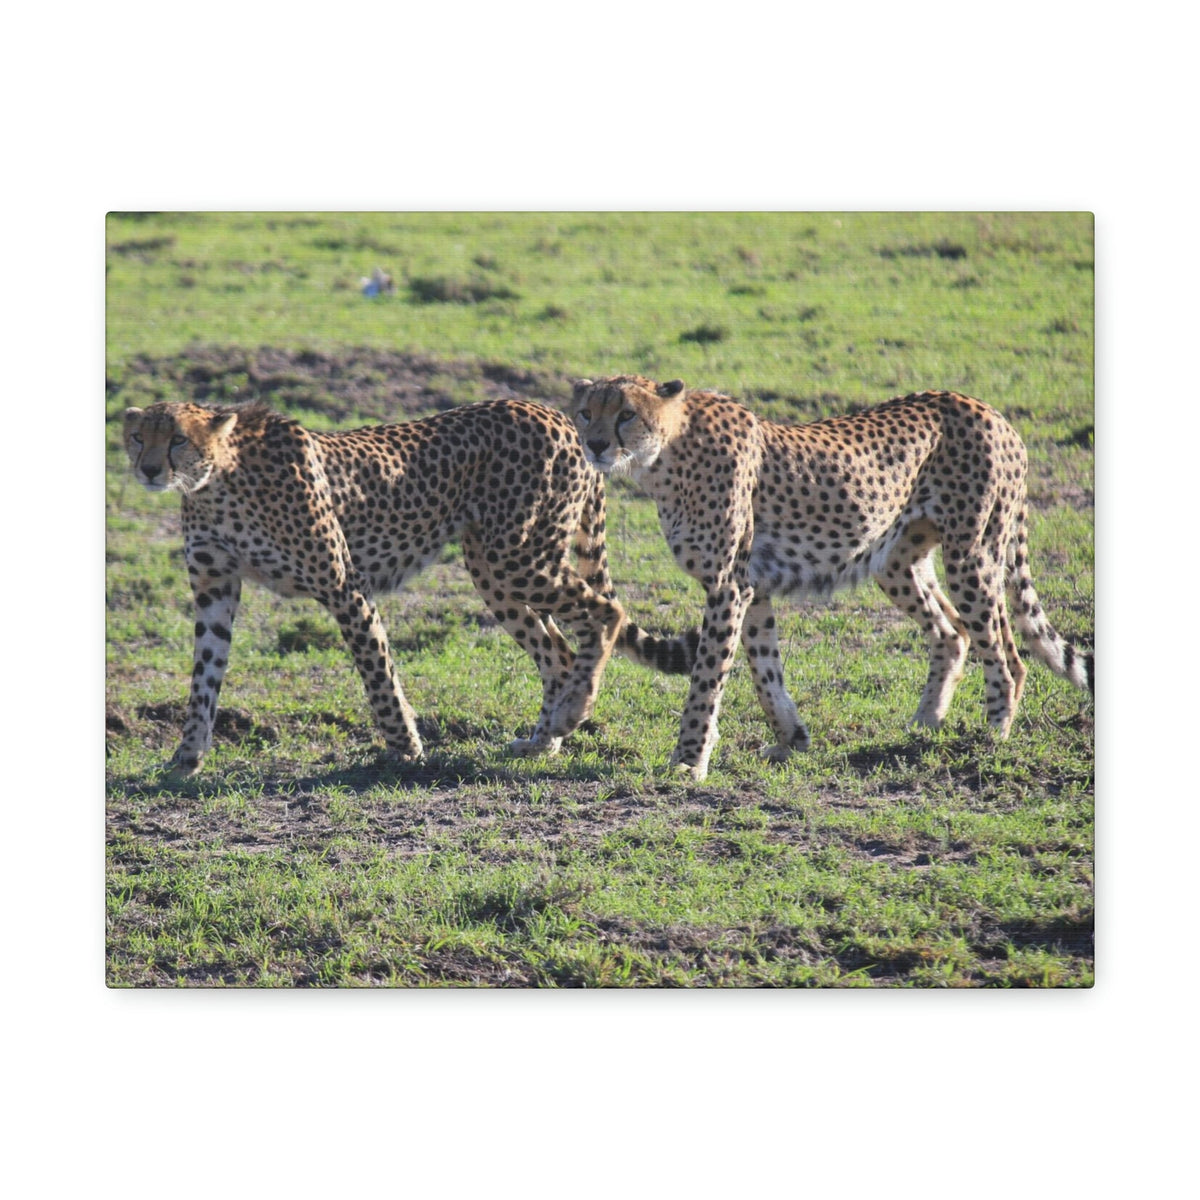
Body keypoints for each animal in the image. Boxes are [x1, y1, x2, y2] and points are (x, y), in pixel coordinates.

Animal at [121, 397, 696, 777]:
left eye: (177, 439)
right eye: (138, 437)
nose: (148, 469)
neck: (216, 481)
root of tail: (556, 413)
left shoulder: (344, 585)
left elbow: (377, 671)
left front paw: (405, 748)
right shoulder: (215, 590)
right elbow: (204, 678)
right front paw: (186, 757)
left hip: (517, 556)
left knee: (604, 613)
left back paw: (573, 713)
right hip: (492, 566)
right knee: (557, 649)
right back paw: (544, 740)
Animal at [571, 374, 1094, 782]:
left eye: (626, 414)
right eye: (585, 412)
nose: (594, 444)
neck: (664, 455)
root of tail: (989, 411)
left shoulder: (728, 586)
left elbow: (707, 678)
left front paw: (689, 758)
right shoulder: (753, 587)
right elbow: (764, 670)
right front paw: (791, 739)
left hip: (973, 553)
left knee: (1007, 654)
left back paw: (992, 737)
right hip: (894, 560)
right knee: (953, 631)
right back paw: (924, 724)